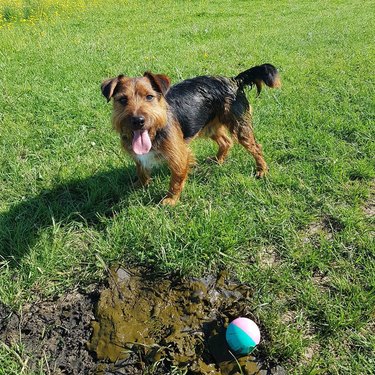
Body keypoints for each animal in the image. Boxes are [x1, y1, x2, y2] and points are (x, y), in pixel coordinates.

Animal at [101, 64, 280, 206]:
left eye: (149, 97)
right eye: (123, 100)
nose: (138, 120)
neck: (155, 131)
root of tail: (233, 80)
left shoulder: (179, 155)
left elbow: (176, 179)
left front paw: (171, 199)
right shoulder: (139, 156)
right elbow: (141, 170)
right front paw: (139, 186)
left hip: (240, 127)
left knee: (255, 147)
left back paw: (262, 170)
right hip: (208, 126)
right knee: (226, 141)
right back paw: (218, 160)